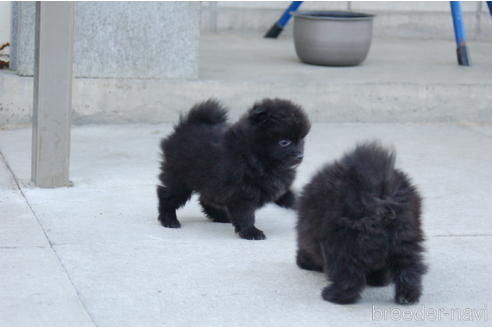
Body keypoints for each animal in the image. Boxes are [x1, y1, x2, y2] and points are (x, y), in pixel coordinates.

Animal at [158, 98, 312, 240]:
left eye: (301, 140)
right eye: (284, 142)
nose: (300, 156)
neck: (256, 157)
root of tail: (186, 126)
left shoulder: (275, 185)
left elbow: (288, 195)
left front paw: (299, 204)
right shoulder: (243, 192)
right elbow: (246, 214)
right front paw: (251, 231)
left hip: (210, 182)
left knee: (206, 199)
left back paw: (220, 216)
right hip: (179, 179)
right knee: (166, 196)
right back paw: (169, 220)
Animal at [296, 142, 426, 304]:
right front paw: (379, 279)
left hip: (344, 242)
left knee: (349, 275)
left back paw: (334, 295)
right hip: (405, 237)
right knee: (409, 267)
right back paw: (407, 296)